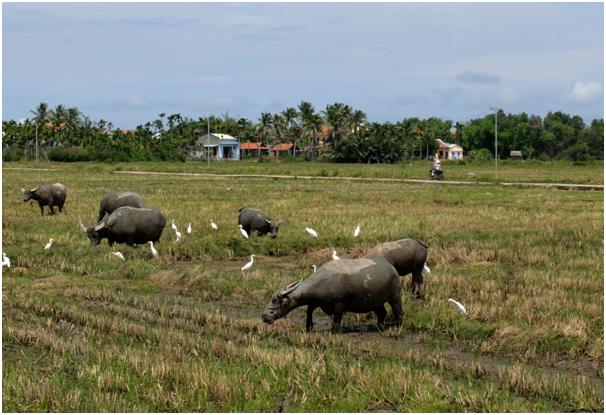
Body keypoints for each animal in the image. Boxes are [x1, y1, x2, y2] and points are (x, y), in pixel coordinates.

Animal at [262, 255, 402, 334]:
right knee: (382, 313)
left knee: (398, 312)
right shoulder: (319, 302)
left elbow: (336, 321)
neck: (325, 280)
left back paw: (398, 326)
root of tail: (391, 268)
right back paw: (379, 327)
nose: (264, 316)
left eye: (276, 300)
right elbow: (309, 310)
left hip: (395, 296)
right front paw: (309, 326)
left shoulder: (339, 305)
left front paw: (334, 332)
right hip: (375, 301)